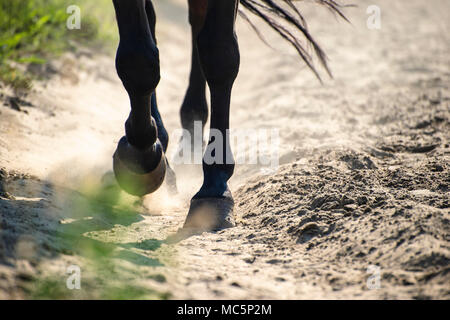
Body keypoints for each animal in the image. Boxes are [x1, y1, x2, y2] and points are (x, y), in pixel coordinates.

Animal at [110, 0, 346, 235]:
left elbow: (218, 52)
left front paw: (215, 185)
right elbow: (137, 58)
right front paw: (141, 155)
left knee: (196, 22)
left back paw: (191, 137)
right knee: (157, 23)